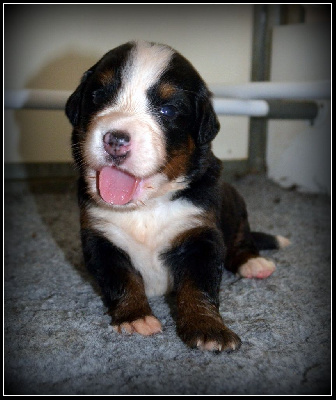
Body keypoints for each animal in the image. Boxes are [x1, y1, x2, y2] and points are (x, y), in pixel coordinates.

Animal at [65, 40, 288, 352]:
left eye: (168, 110)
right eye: (98, 96)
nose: (115, 140)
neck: (144, 208)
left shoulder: (200, 234)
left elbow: (198, 286)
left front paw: (208, 329)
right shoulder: (100, 237)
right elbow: (122, 280)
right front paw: (135, 318)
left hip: (236, 203)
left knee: (242, 240)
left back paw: (253, 263)